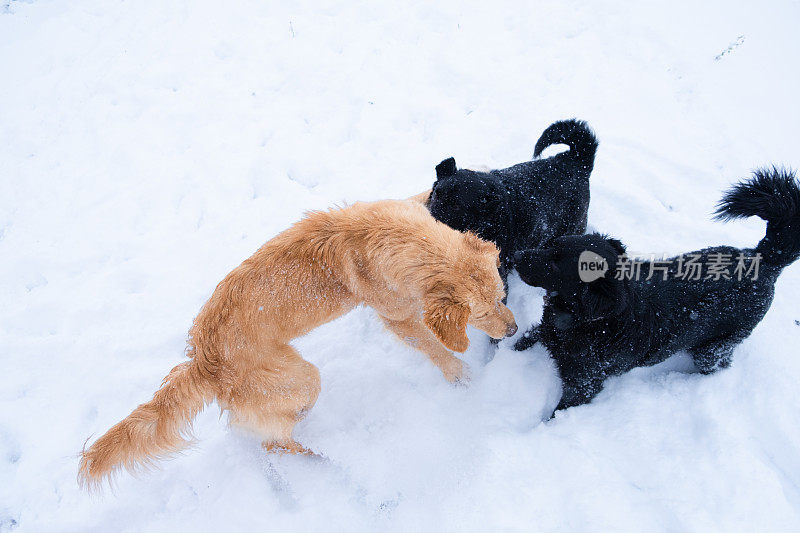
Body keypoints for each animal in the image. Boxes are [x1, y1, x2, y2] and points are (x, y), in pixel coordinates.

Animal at [78, 197, 516, 484]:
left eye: (502, 296)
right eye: (481, 314)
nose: (512, 331)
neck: (390, 237)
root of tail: (204, 361)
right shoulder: (398, 318)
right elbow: (434, 347)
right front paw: (461, 374)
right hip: (303, 378)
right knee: (273, 441)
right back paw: (321, 458)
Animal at [512, 166, 800, 412]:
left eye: (555, 263)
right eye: (553, 244)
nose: (515, 255)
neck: (592, 321)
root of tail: (765, 259)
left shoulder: (583, 385)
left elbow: (556, 414)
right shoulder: (545, 330)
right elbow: (523, 339)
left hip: (714, 347)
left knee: (718, 367)